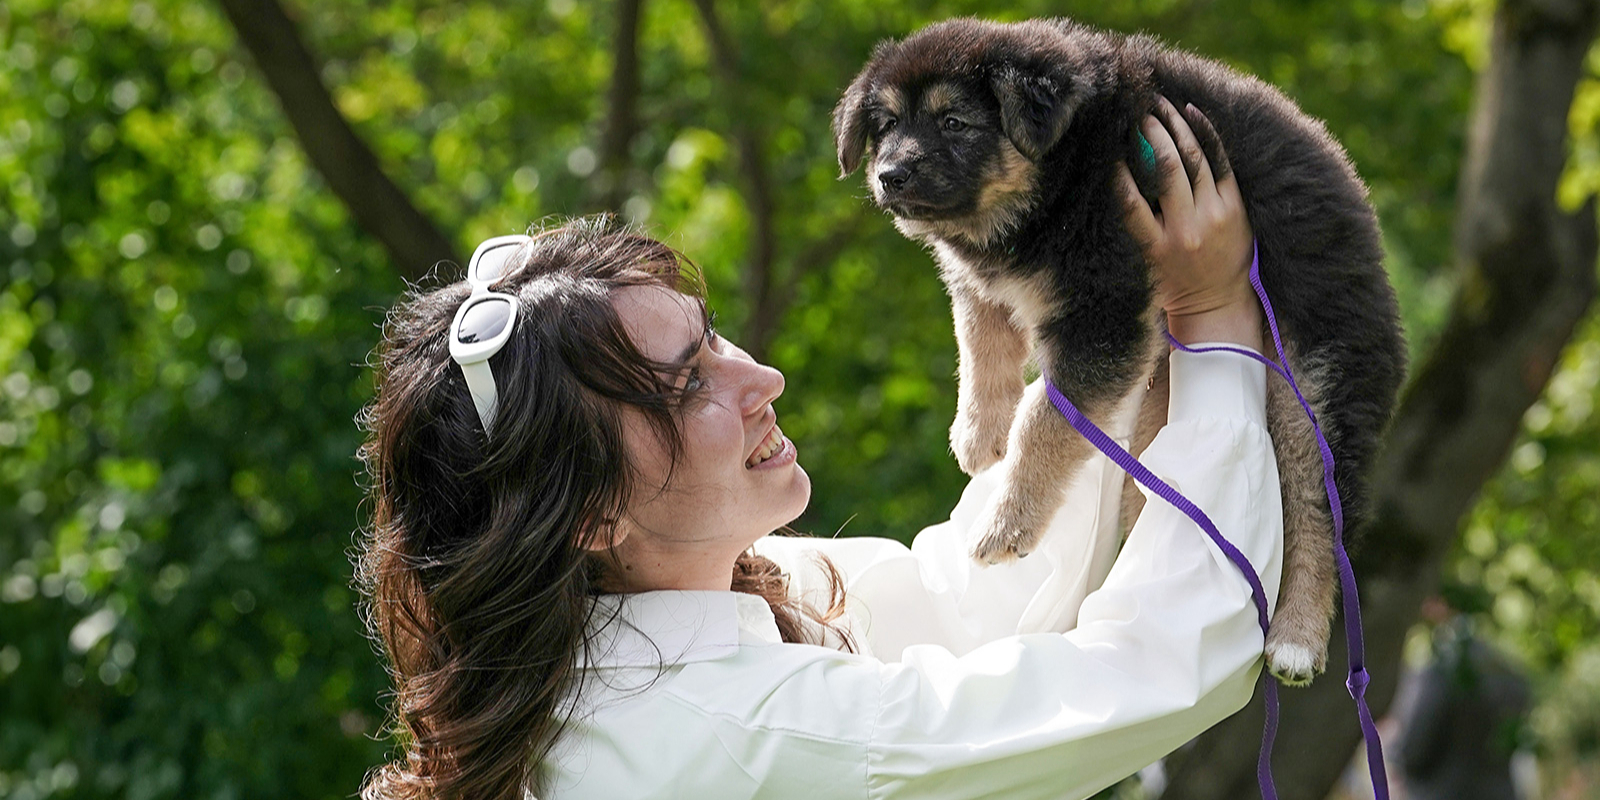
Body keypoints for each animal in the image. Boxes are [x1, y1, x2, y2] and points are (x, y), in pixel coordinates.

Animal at [832, 15, 1408, 684]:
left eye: (954, 122)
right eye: (887, 126)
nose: (889, 176)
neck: (1067, 167)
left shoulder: (1106, 307)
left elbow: (1046, 419)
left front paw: (1007, 523)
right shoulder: (1006, 287)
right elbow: (980, 339)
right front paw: (980, 433)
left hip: (1312, 385)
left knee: (1318, 511)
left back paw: (1296, 637)